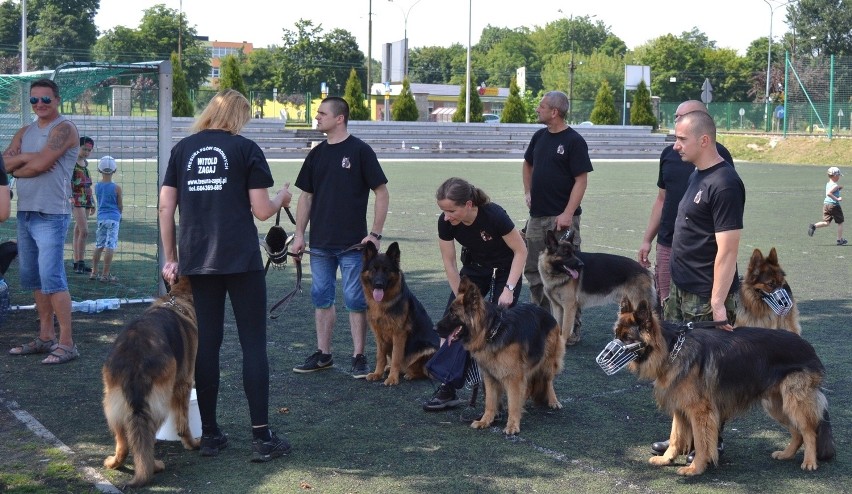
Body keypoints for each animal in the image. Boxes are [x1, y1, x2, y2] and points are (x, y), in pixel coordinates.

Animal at [102, 278, 199, 486]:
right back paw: (154, 466)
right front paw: (192, 444)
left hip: (112, 406)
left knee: (126, 443)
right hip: (159, 403)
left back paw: (115, 462)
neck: (178, 299)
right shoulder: (184, 383)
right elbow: (183, 423)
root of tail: (135, 355)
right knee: (146, 438)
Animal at [362, 241, 440, 384]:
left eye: (386, 270)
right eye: (374, 269)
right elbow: (380, 357)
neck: (383, 303)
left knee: (423, 372)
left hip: (427, 349)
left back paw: (410, 374)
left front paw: (392, 378)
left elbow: (396, 357)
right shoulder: (379, 336)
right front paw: (377, 374)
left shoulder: (399, 334)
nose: (378, 284)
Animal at [436, 276, 564, 434]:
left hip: (547, 361)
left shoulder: (514, 377)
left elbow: (513, 401)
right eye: (449, 312)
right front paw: (485, 421)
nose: (434, 328)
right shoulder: (490, 376)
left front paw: (512, 425)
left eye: (453, 314)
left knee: (548, 380)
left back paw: (553, 401)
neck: (492, 332)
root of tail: (547, 313)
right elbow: (490, 402)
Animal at [604, 298, 836, 474]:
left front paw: (695, 468)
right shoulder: (680, 407)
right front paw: (666, 459)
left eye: (627, 338)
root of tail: (807, 346)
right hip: (777, 405)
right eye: (616, 335)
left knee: (809, 431)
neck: (672, 349)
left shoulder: (700, 411)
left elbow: (701, 440)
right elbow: (675, 437)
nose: (605, 356)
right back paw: (787, 454)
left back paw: (809, 461)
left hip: (794, 402)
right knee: (797, 432)